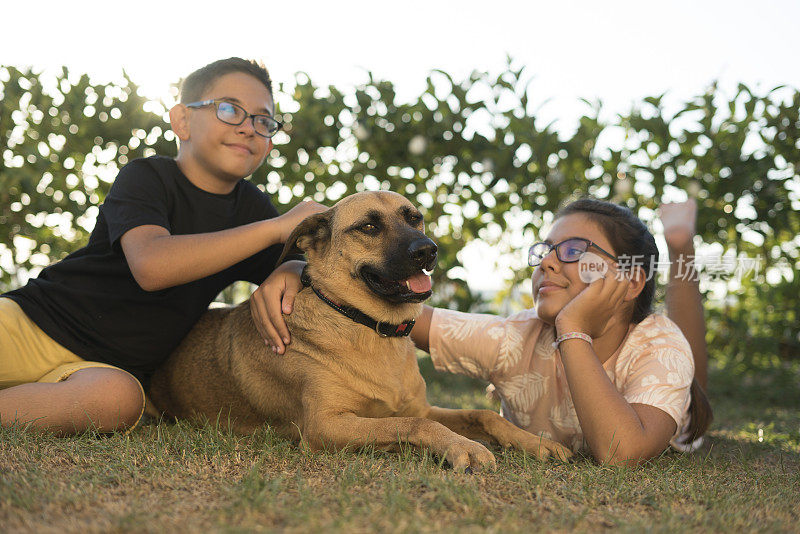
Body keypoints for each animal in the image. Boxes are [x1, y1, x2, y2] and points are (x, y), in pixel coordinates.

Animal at [147, 193, 572, 474]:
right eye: (368, 226)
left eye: (414, 218)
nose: (428, 250)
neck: (369, 328)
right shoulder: (325, 426)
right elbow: (413, 425)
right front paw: (460, 447)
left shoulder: (420, 406)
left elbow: (482, 415)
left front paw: (536, 443)